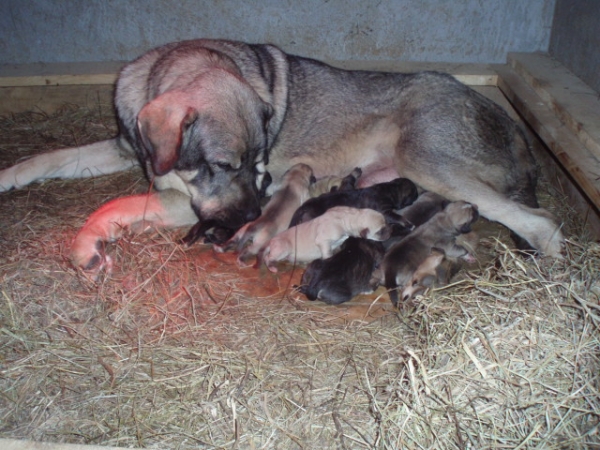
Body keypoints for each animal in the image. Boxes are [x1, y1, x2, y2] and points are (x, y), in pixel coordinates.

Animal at [262, 206, 390, 272]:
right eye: (380, 231)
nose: (390, 231)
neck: (350, 217)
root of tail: (271, 242)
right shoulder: (323, 241)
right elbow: (327, 254)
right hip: (282, 249)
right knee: (268, 257)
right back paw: (272, 267)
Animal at [290, 178, 418, 229]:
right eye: (414, 193)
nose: (418, 193)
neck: (390, 189)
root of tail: (304, 206)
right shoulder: (385, 211)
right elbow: (398, 217)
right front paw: (409, 224)